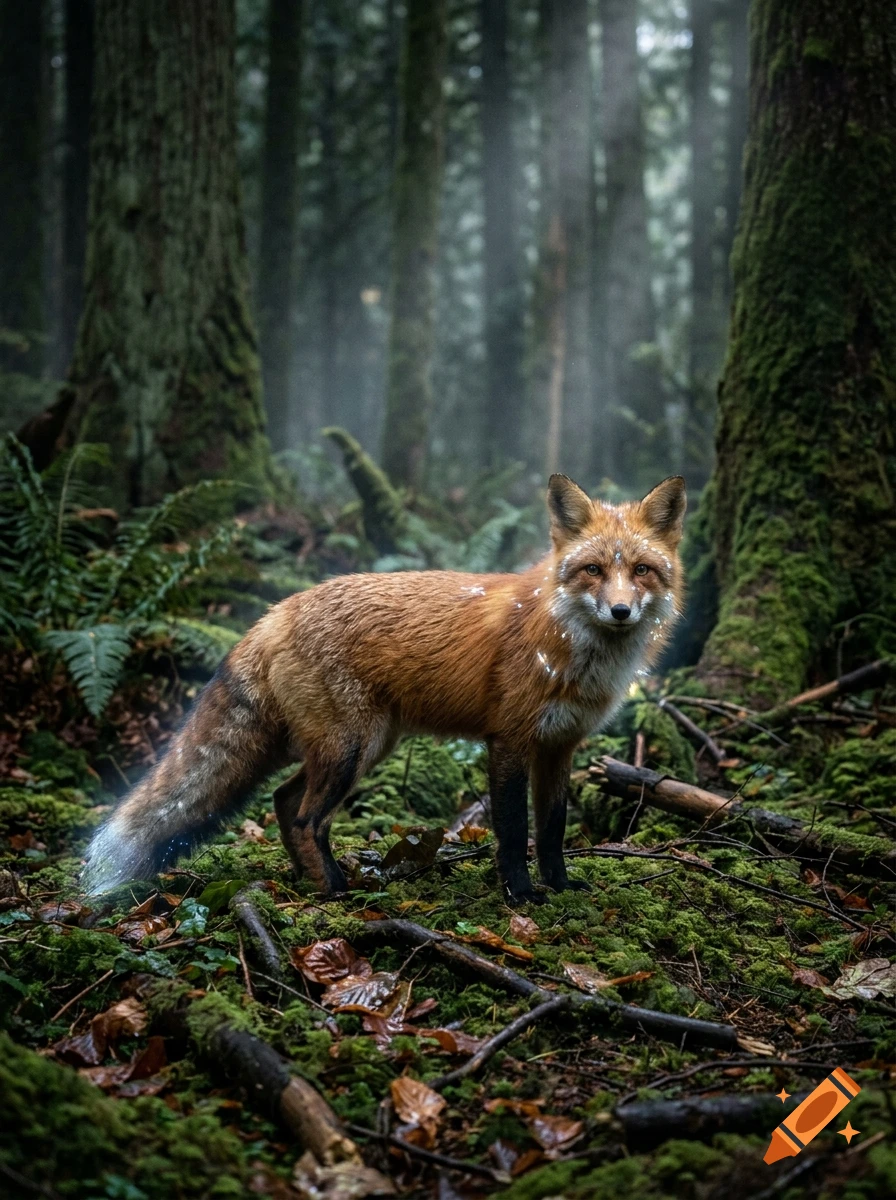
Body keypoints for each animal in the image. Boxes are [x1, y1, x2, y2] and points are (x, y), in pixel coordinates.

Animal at [83, 474, 686, 904]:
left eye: (641, 570)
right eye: (592, 570)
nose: (621, 610)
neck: (571, 650)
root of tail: (277, 610)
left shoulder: (560, 745)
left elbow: (554, 828)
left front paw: (559, 886)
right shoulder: (510, 740)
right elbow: (515, 831)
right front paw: (520, 895)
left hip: (360, 747)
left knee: (283, 801)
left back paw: (314, 878)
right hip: (353, 748)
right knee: (304, 816)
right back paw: (333, 890)